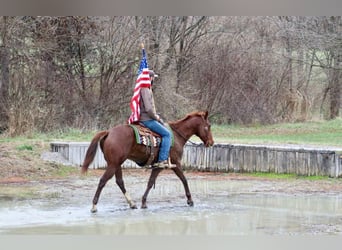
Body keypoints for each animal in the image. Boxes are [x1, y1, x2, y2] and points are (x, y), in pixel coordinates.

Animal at [81, 110, 214, 212]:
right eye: (209, 126)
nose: (211, 142)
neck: (176, 136)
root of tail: (109, 132)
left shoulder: (158, 166)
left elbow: (150, 182)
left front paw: (143, 202)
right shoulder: (175, 163)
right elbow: (184, 179)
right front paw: (190, 200)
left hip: (116, 164)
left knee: (119, 181)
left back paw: (132, 203)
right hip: (113, 165)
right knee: (103, 181)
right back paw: (94, 206)